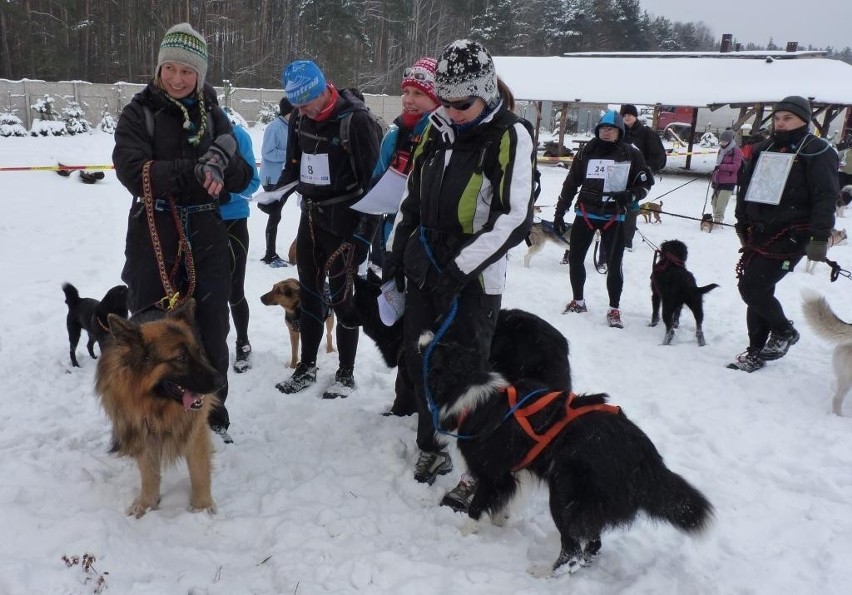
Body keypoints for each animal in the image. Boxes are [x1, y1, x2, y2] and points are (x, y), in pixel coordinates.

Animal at [95, 300, 223, 520]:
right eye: (180, 358)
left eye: (198, 352)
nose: (220, 382)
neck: (157, 405)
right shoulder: (143, 430)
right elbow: (149, 474)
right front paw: (147, 504)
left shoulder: (195, 430)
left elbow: (199, 471)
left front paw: (202, 507)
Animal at [424, 330, 712, 576]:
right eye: (446, 344)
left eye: (438, 348)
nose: (426, 332)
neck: (466, 386)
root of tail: (643, 454)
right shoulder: (511, 473)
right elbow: (502, 503)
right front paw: (500, 523)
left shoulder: (491, 472)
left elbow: (476, 507)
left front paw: (464, 534)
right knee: (592, 544)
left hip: (565, 493)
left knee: (572, 551)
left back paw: (545, 571)